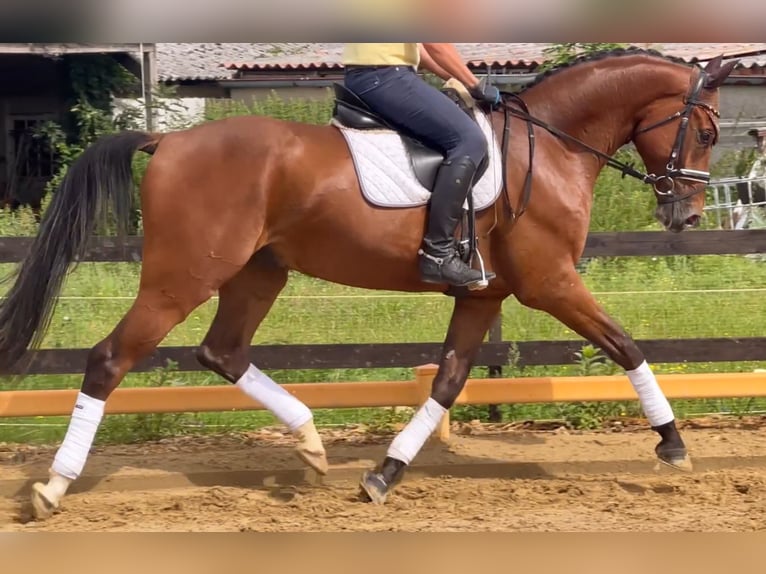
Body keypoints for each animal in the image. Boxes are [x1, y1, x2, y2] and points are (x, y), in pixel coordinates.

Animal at [0, 48, 736, 519]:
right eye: (705, 132)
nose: (689, 215)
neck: (552, 148)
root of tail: (168, 141)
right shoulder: (550, 282)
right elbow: (625, 345)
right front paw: (673, 444)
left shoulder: (483, 294)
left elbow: (448, 381)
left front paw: (384, 476)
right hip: (181, 278)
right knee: (110, 360)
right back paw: (54, 488)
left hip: (258, 272)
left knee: (223, 352)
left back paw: (310, 444)